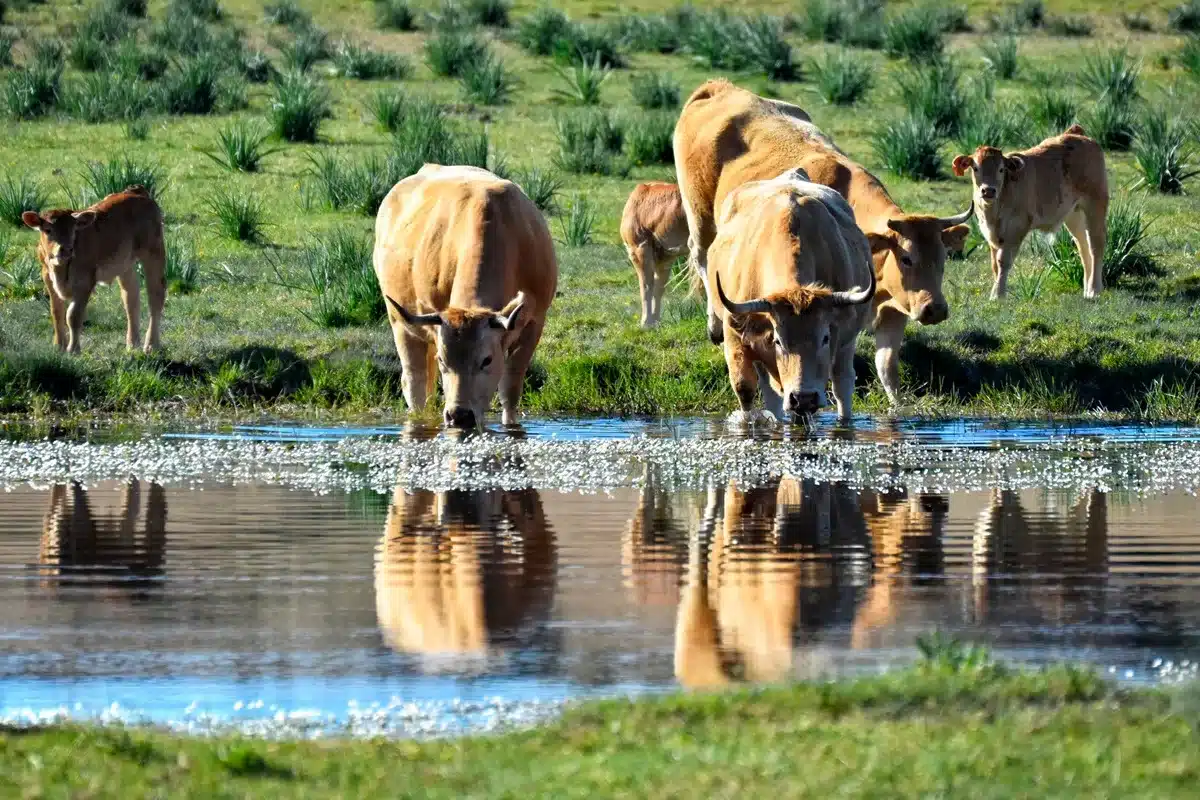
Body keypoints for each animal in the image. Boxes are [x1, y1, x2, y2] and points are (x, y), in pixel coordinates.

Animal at [21, 185, 166, 355]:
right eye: (48, 229)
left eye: (74, 229)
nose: (66, 249)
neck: (60, 268)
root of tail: (135, 191)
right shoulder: (47, 277)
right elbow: (56, 312)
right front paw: (58, 346)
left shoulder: (85, 281)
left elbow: (73, 316)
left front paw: (73, 349)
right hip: (125, 264)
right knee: (131, 298)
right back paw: (132, 344)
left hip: (154, 252)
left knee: (156, 295)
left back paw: (151, 345)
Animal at [374, 164, 558, 429]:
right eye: (443, 360)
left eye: (487, 360)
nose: (459, 416)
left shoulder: (535, 322)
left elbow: (510, 390)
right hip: (399, 323)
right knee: (415, 384)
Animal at [619, 181, 689, 328]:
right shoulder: (663, 255)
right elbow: (656, 287)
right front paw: (653, 322)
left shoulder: (640, 249)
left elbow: (647, 286)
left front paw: (646, 323)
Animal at [707, 168, 876, 423]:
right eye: (778, 340)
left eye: (825, 338)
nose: (803, 397)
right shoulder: (735, 334)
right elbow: (745, 389)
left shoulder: (842, 336)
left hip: (846, 345)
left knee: (842, 384)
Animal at [952, 125, 1109, 299]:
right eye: (976, 168)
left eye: (1001, 169)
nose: (988, 190)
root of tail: (1076, 134)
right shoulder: (990, 233)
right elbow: (994, 264)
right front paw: (995, 292)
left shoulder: (1016, 228)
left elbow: (1003, 261)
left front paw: (998, 295)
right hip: (1074, 214)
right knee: (1083, 246)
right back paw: (1087, 290)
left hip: (1095, 205)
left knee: (1096, 244)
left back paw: (1094, 290)